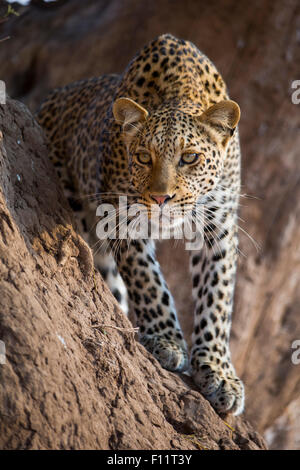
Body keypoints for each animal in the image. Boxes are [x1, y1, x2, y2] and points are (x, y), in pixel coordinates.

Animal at [37, 33, 244, 414]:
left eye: (189, 157)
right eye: (144, 157)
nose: (161, 198)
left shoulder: (220, 226)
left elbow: (217, 297)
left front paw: (219, 372)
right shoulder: (120, 218)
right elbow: (148, 281)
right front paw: (166, 340)